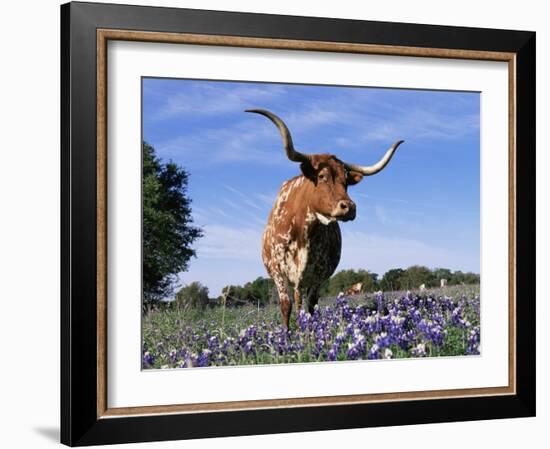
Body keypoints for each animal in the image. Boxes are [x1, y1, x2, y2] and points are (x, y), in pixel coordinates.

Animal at [247, 108, 406, 326]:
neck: (304, 230)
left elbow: (311, 306)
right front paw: (288, 334)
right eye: (322, 176)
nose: (349, 207)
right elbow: (286, 306)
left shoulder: (318, 275)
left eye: (346, 180)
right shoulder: (279, 272)